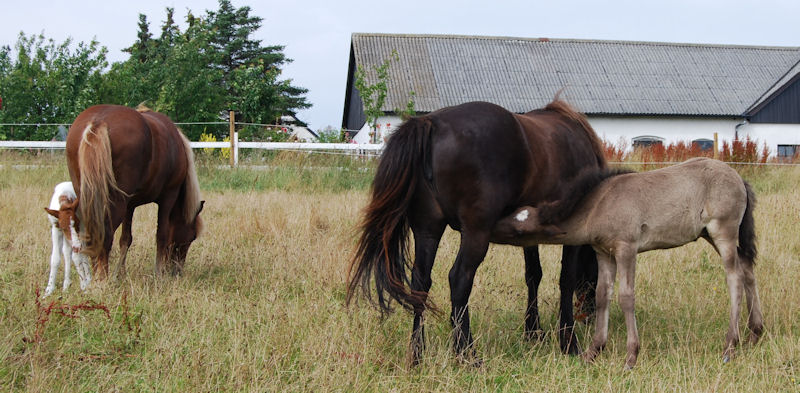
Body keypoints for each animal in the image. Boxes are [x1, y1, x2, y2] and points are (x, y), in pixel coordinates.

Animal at [66, 105, 205, 280]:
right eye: (192, 236)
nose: (177, 271)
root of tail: (98, 121)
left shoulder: (129, 206)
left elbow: (126, 239)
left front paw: (120, 273)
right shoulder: (168, 197)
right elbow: (162, 235)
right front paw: (159, 273)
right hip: (115, 203)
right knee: (105, 234)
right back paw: (102, 277)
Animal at [346, 98, 608, 364]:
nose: (588, 315)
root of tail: (431, 123)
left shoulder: (529, 232)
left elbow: (533, 275)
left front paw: (533, 331)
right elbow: (566, 279)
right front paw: (568, 341)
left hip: (427, 230)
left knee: (420, 283)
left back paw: (418, 353)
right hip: (475, 233)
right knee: (459, 278)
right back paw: (467, 353)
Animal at [494, 156, 764, 368]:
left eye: (519, 229)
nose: (492, 227)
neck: (600, 203)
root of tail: (739, 179)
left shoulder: (626, 249)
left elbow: (626, 296)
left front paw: (631, 356)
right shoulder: (604, 253)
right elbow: (602, 295)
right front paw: (593, 351)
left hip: (724, 232)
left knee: (735, 278)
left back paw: (730, 345)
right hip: (711, 235)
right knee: (748, 271)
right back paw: (755, 334)